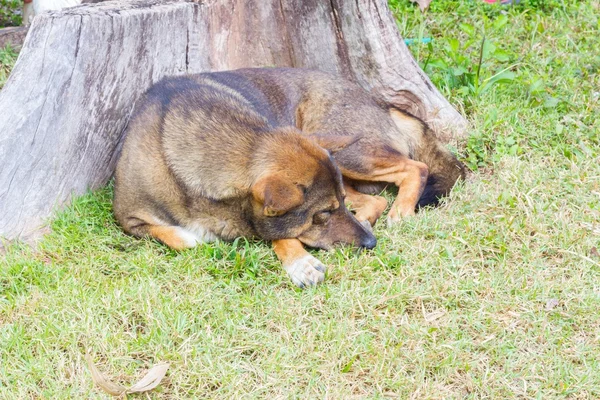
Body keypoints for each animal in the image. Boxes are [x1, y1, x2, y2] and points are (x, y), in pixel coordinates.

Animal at [115, 68, 466, 288]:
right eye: (322, 215)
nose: (371, 244)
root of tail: (381, 102)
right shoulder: (127, 218)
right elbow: (172, 235)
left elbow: (281, 234)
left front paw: (300, 262)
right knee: (376, 197)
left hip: (348, 152)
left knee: (415, 168)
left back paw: (400, 212)